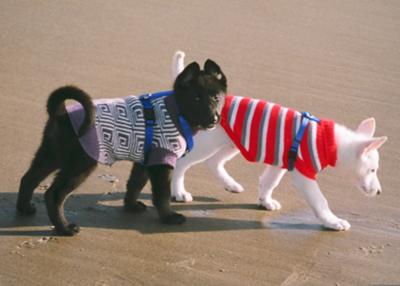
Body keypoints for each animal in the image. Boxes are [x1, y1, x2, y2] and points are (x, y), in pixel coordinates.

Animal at [16, 59, 228, 235]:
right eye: (196, 98)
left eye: (216, 97)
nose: (214, 118)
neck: (176, 111)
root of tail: (61, 114)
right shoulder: (161, 160)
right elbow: (162, 194)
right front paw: (168, 217)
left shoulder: (146, 160)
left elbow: (135, 184)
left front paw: (131, 206)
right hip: (81, 164)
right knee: (53, 194)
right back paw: (65, 228)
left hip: (51, 154)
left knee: (29, 178)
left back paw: (25, 209)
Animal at [171, 50, 388, 230]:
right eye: (372, 170)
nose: (379, 193)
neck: (328, 140)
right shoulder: (304, 174)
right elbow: (320, 201)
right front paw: (333, 221)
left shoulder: (280, 163)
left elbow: (269, 182)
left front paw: (265, 201)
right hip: (208, 144)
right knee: (182, 163)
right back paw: (179, 191)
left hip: (231, 143)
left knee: (213, 162)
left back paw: (230, 184)